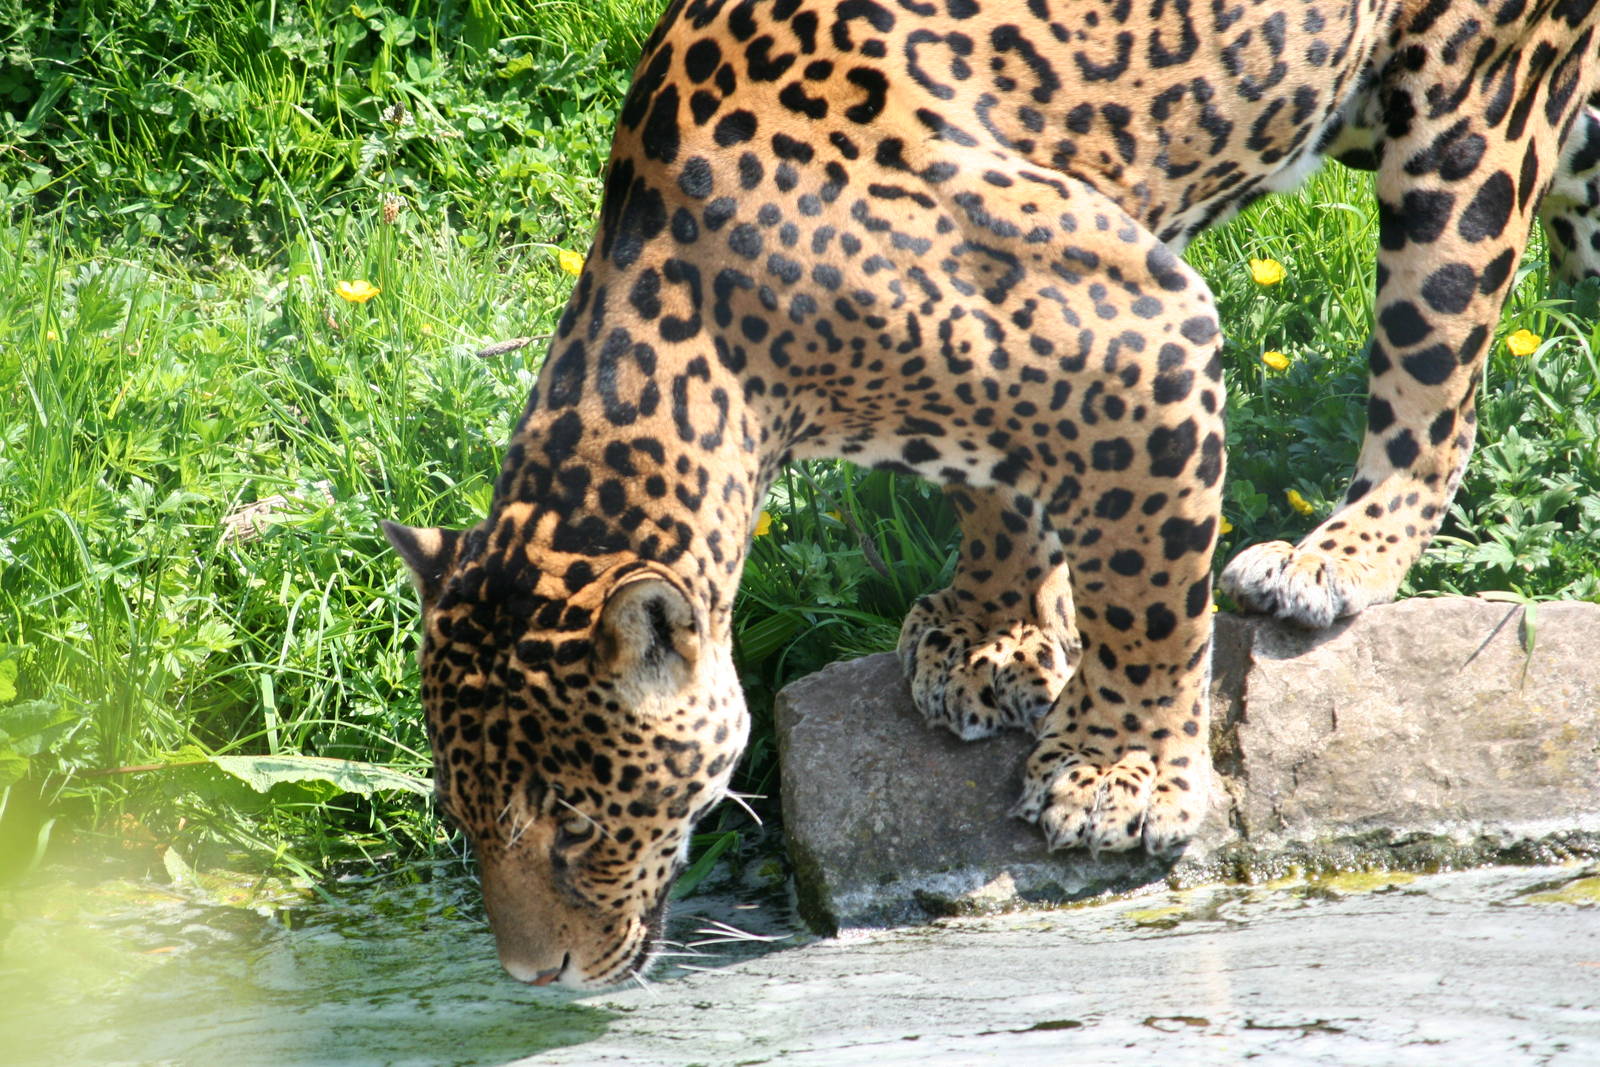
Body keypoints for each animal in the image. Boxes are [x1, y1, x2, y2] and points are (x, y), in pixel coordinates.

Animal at [384, 0, 1600, 989]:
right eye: (463, 819)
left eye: (579, 823)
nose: (532, 976)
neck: (716, 340)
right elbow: (998, 488)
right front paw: (995, 630)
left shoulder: (1141, 337)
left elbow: (1146, 590)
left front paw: (1114, 772)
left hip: (1463, 127)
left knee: (1437, 397)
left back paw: (1329, 559)